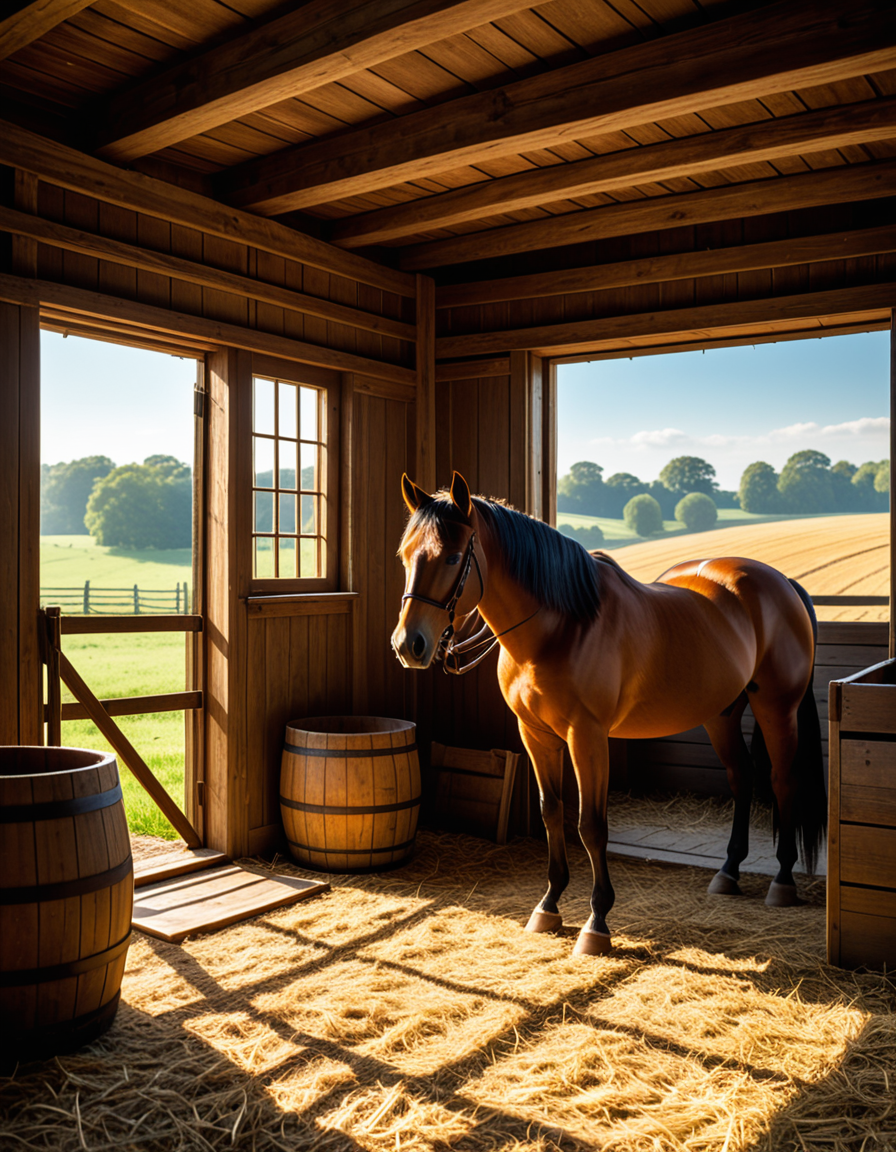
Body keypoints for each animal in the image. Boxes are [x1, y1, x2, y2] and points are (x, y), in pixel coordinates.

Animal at [391, 472, 826, 957]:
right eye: (406, 555)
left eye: (451, 557)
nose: (409, 645)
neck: (559, 626)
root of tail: (781, 582)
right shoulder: (536, 735)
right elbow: (551, 812)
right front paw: (549, 905)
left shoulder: (587, 737)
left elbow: (591, 826)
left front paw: (596, 922)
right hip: (722, 714)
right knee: (742, 778)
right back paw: (728, 871)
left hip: (777, 708)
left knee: (783, 780)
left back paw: (783, 880)